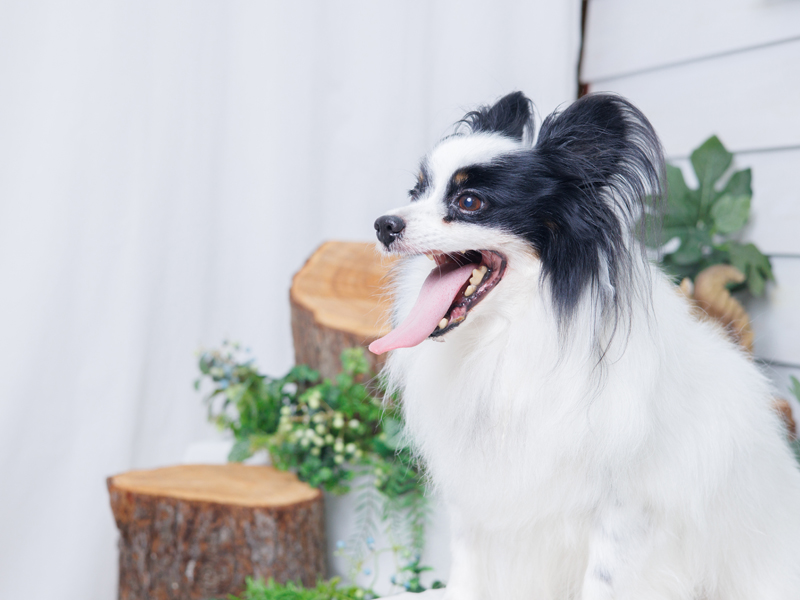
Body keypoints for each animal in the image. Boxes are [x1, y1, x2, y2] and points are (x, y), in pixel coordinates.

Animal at [372, 92, 800, 600]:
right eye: (415, 192)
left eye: (469, 202)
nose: (382, 224)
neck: (513, 335)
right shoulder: (476, 504)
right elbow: (465, 576)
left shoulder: (624, 516)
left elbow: (603, 582)